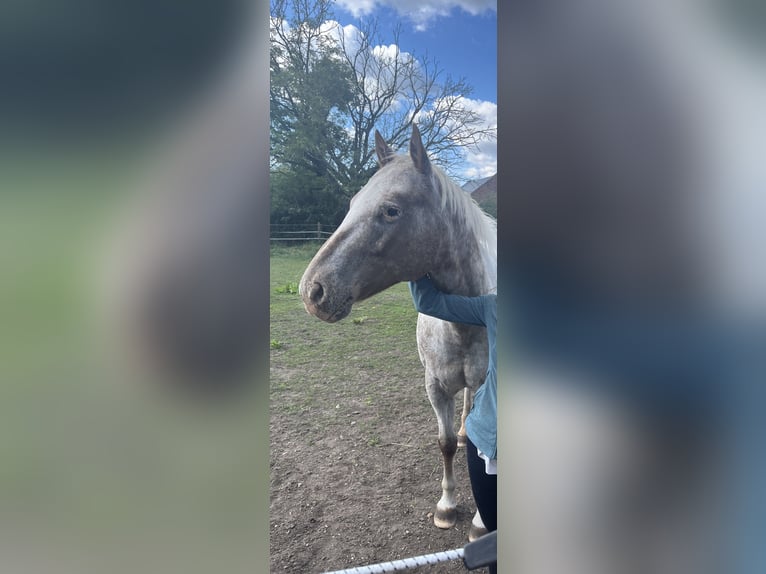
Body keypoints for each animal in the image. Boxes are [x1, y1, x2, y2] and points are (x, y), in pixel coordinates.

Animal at [299, 123, 496, 541]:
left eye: (391, 210)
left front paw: (478, 522)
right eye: (353, 202)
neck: (464, 322)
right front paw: (446, 506)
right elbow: (445, 444)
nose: (312, 291)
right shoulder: (435, 386)